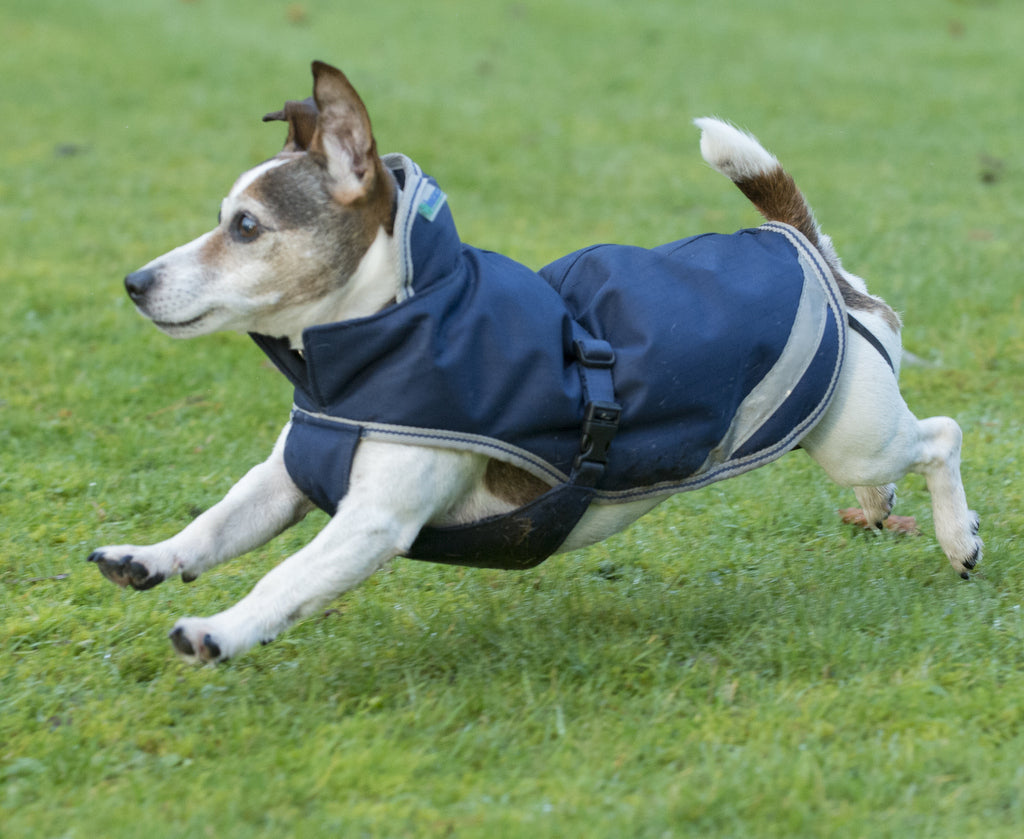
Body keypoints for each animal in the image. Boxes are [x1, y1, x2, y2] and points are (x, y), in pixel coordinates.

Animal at [90, 60, 983, 663]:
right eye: (222, 218)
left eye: (244, 228)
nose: (135, 282)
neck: (385, 334)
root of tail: (803, 246)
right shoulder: (282, 480)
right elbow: (216, 525)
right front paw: (151, 557)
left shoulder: (373, 522)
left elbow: (284, 580)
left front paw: (221, 629)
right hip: (841, 431)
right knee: (894, 461)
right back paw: (880, 506)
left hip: (855, 435)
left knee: (941, 434)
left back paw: (956, 537)